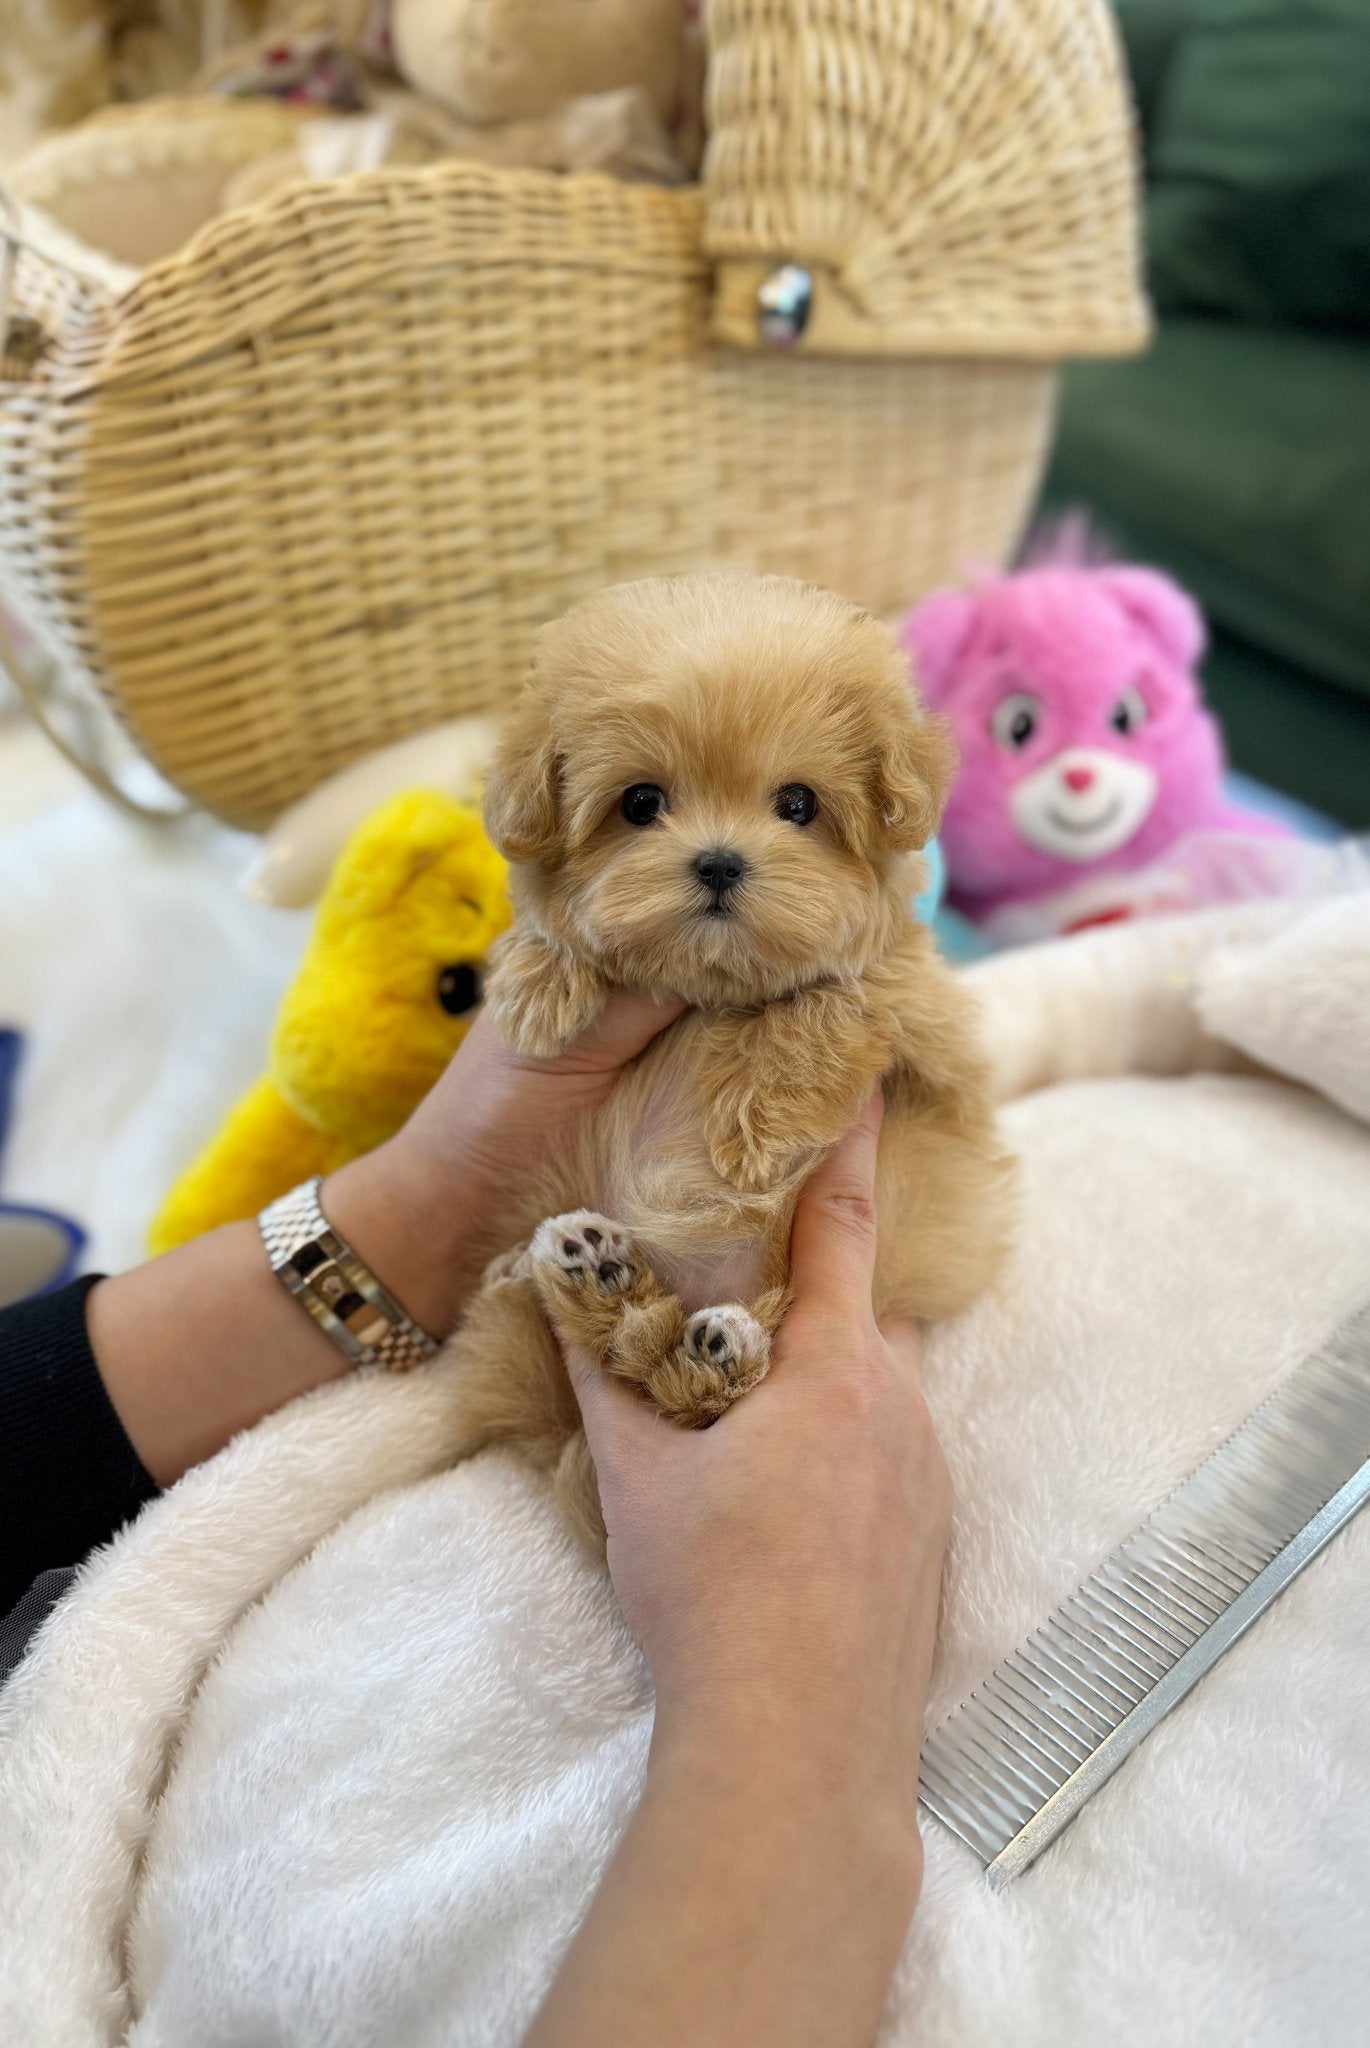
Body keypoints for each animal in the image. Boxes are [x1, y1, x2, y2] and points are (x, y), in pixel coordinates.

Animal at [444, 569, 1011, 1540]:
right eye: (640, 803)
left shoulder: (914, 1016)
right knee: (630, 1356)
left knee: (684, 1387)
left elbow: (829, 1004)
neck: (714, 990)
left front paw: (752, 1139)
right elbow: (551, 925)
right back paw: (578, 1272)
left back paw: (701, 1341)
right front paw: (538, 985)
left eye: (797, 804)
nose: (717, 863)